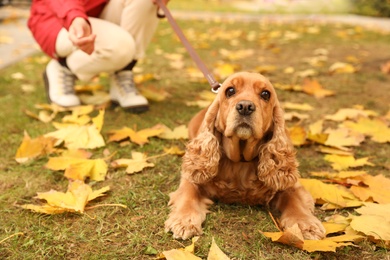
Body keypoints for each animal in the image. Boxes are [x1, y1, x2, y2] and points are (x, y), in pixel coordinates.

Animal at [165, 71, 326, 240]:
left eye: (265, 94)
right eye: (230, 91)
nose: (245, 107)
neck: (240, 161)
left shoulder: (290, 184)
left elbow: (294, 199)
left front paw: (305, 224)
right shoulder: (191, 177)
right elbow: (188, 194)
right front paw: (184, 220)